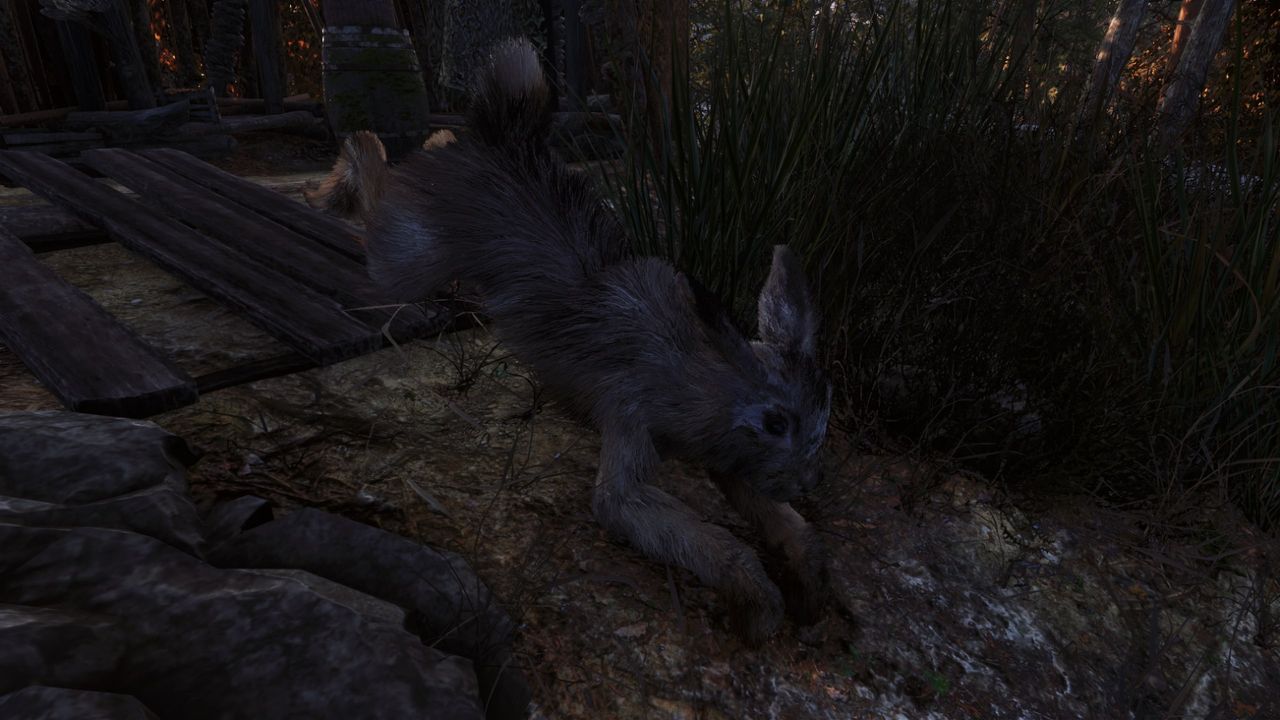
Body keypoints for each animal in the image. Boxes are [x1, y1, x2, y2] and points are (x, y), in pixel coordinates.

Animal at [309, 38, 833, 645]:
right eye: (775, 422)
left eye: (824, 417)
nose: (810, 481)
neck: (697, 369)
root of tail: (493, 141)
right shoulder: (630, 432)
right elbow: (700, 537)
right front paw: (759, 607)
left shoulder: (730, 460)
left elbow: (785, 525)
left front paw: (811, 589)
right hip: (408, 263)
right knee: (377, 201)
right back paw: (349, 165)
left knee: (431, 146)